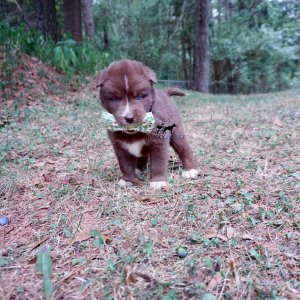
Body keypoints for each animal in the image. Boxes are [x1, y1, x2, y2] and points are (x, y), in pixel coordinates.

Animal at [97, 59, 198, 188]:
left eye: (139, 97)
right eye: (115, 99)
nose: (129, 117)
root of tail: (165, 93)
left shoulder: (159, 140)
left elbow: (158, 161)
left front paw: (158, 181)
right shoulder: (119, 145)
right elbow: (125, 164)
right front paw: (127, 179)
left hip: (177, 132)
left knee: (184, 149)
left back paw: (190, 170)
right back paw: (138, 169)